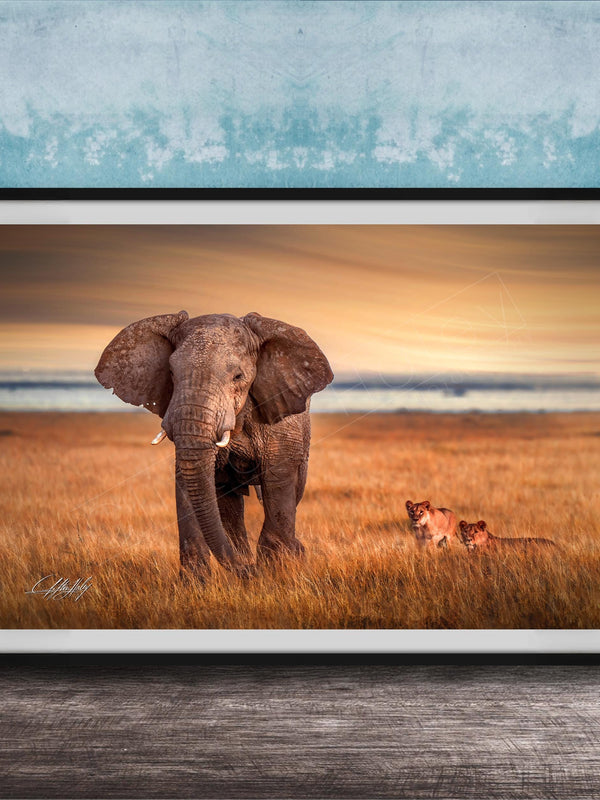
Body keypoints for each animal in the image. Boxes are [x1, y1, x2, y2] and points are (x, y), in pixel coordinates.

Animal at [95, 311, 333, 577]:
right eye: (171, 373)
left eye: (238, 376)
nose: (249, 572)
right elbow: (189, 481)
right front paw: (197, 581)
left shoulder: (280, 423)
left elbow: (277, 480)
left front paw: (277, 567)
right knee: (228, 502)